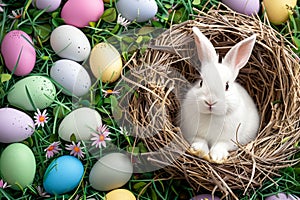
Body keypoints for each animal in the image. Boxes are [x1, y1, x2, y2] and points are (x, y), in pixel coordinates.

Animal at [180, 27, 260, 164]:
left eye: (227, 86)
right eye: (201, 82)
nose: (210, 102)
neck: (212, 116)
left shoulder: (230, 140)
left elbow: (221, 145)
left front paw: (217, 156)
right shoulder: (191, 133)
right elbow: (200, 140)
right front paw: (199, 150)